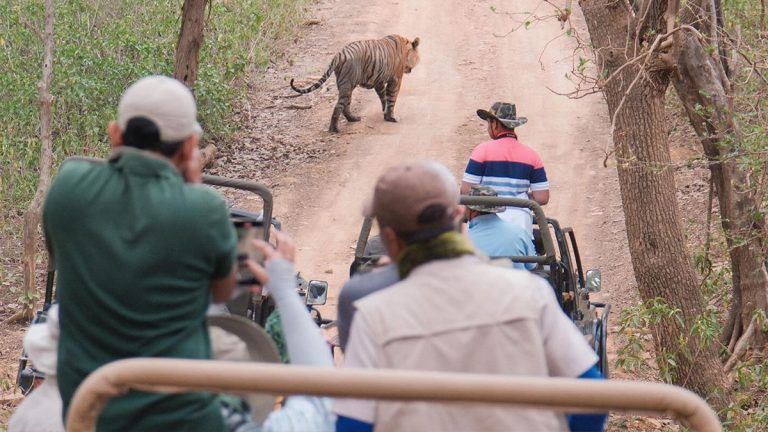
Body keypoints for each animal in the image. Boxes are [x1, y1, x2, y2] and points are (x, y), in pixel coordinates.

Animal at [290, 34, 420, 132]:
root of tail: (340, 54)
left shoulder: (379, 82)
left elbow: (383, 98)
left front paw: (385, 113)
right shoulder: (396, 80)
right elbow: (392, 99)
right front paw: (392, 117)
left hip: (346, 86)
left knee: (346, 105)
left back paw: (353, 119)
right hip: (347, 85)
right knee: (339, 107)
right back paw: (334, 129)